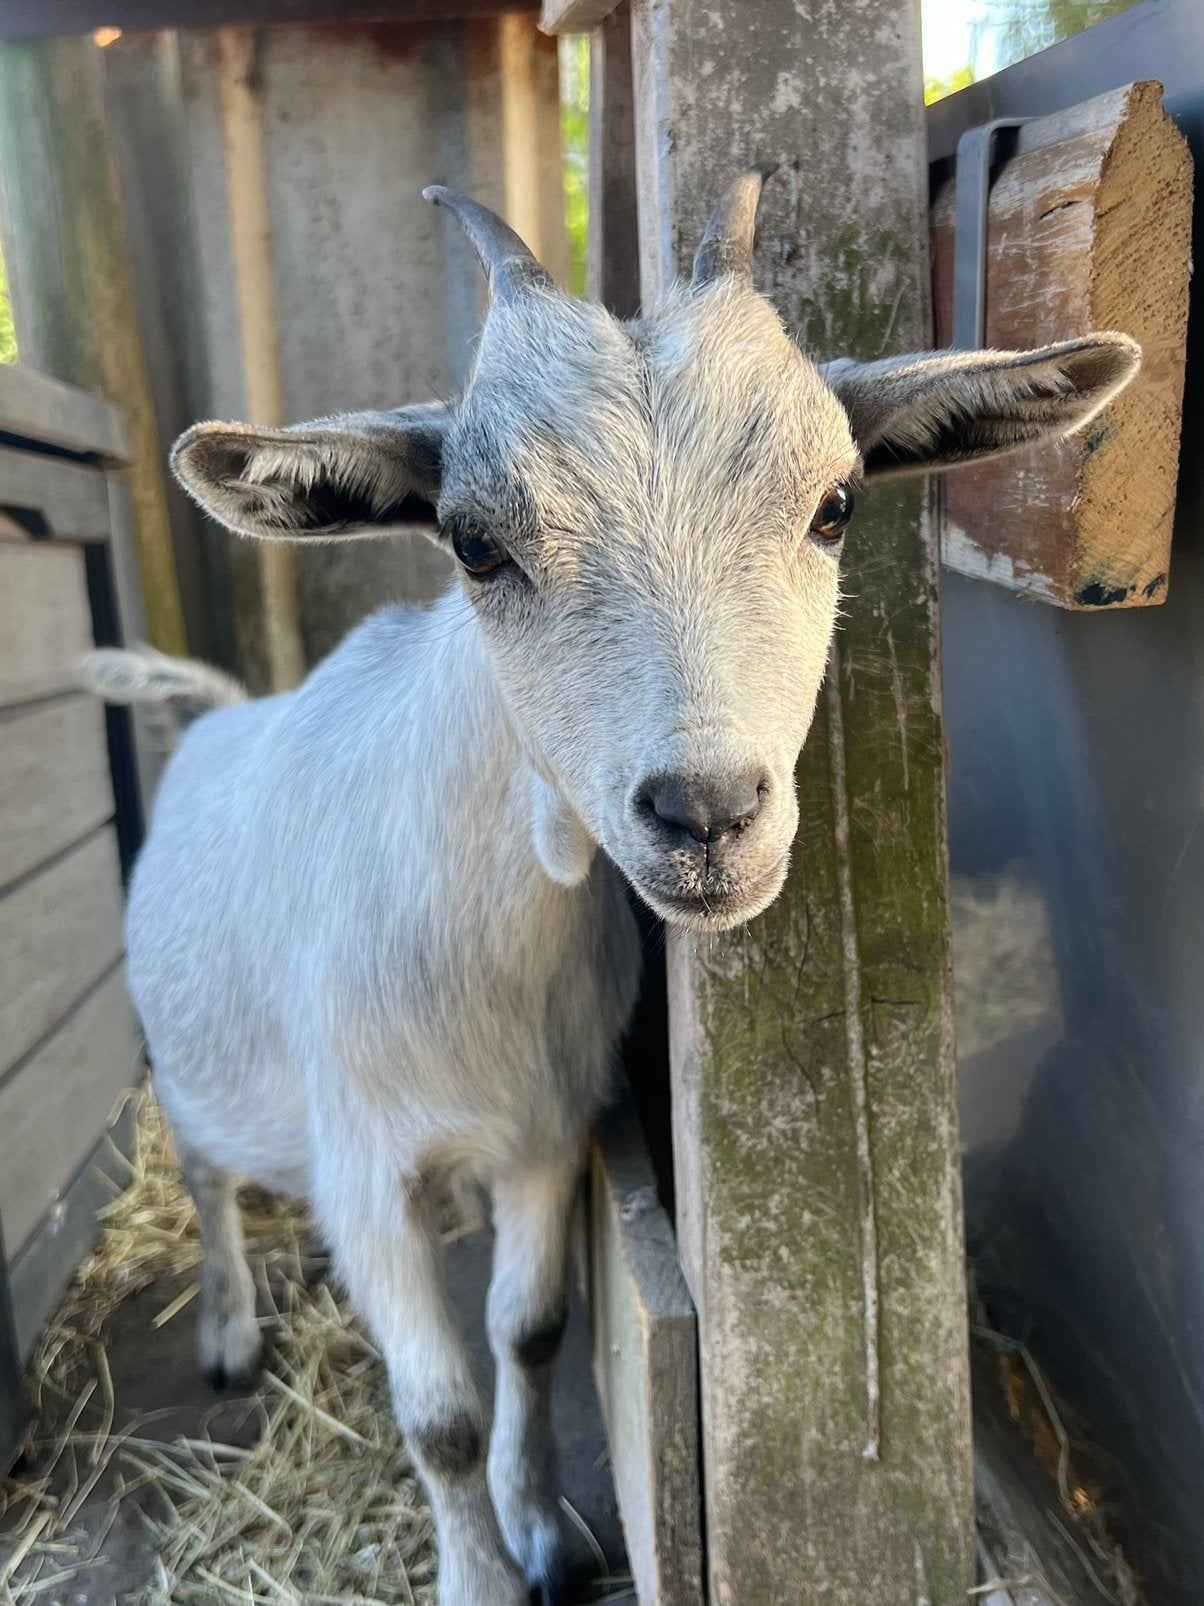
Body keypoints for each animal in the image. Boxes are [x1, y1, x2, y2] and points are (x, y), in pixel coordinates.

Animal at [81, 171, 1139, 1606]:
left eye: (836, 504)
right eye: (474, 542)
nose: (709, 813)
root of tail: (214, 714)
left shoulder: (544, 1134)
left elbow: (527, 1335)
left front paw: (542, 1532)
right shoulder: (363, 1166)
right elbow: (439, 1415)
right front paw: (479, 1576)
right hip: (190, 1064)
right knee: (202, 1174)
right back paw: (232, 1331)